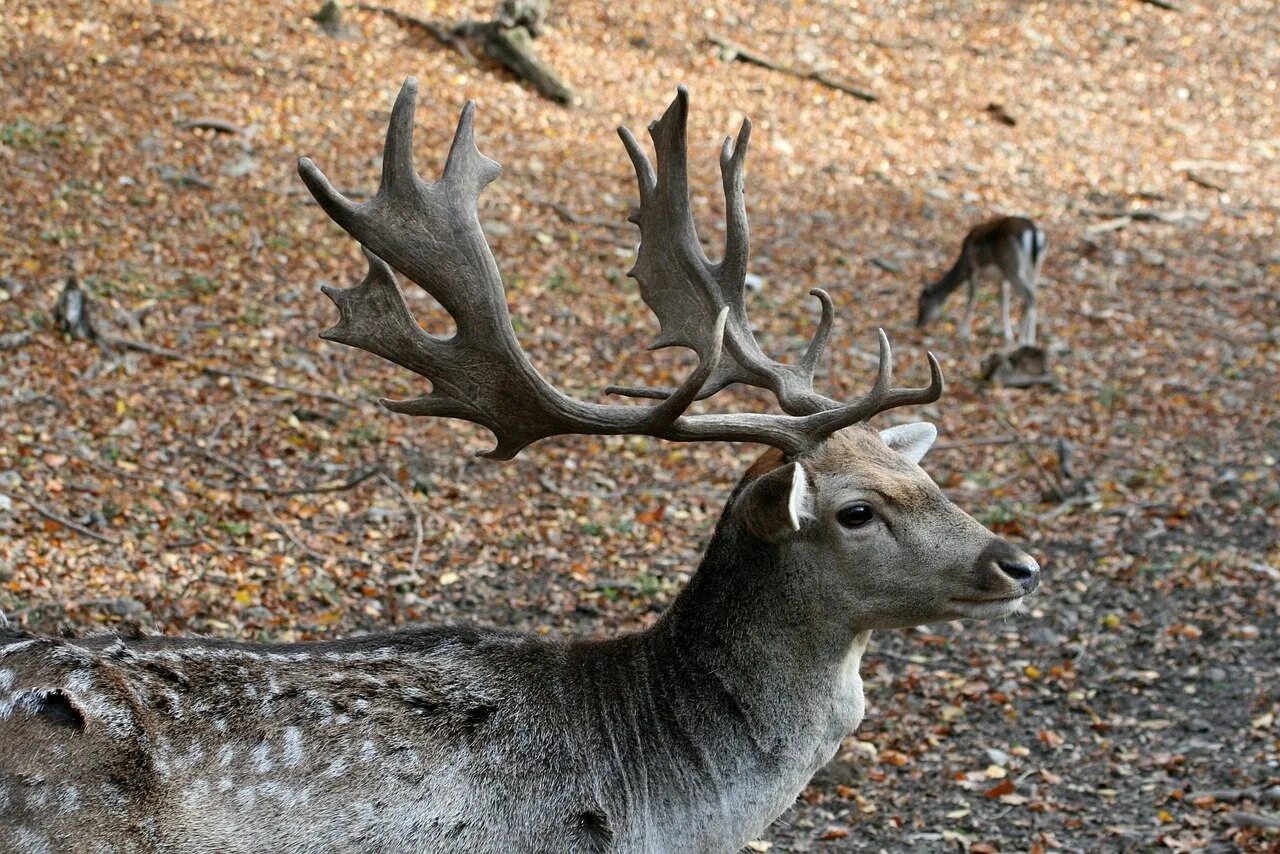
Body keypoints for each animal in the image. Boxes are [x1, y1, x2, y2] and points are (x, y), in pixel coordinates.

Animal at [921, 217, 1049, 348]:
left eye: (921, 301)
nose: (918, 322)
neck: (962, 266)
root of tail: (1034, 232)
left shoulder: (973, 270)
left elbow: (972, 299)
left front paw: (963, 334)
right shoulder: (1002, 280)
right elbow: (1004, 304)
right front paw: (1008, 336)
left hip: (1012, 268)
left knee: (1029, 297)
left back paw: (1027, 340)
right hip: (1035, 269)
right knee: (1031, 298)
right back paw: (1026, 339)